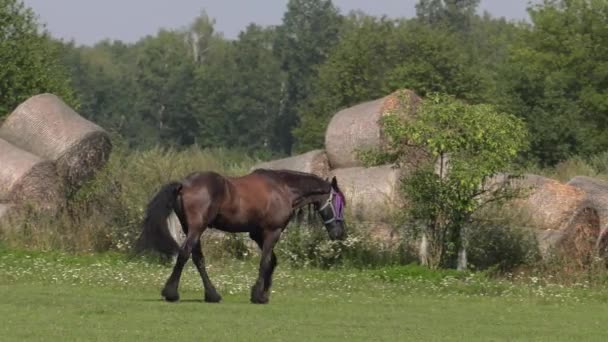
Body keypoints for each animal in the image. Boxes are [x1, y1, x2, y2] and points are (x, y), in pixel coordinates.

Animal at [137, 168, 346, 304]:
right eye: (340, 202)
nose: (340, 233)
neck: (283, 188)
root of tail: (184, 184)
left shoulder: (257, 234)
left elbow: (272, 261)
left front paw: (263, 293)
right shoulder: (272, 232)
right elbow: (265, 261)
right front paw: (259, 295)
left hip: (190, 229)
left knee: (198, 259)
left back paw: (212, 295)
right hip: (196, 228)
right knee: (184, 254)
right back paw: (171, 293)